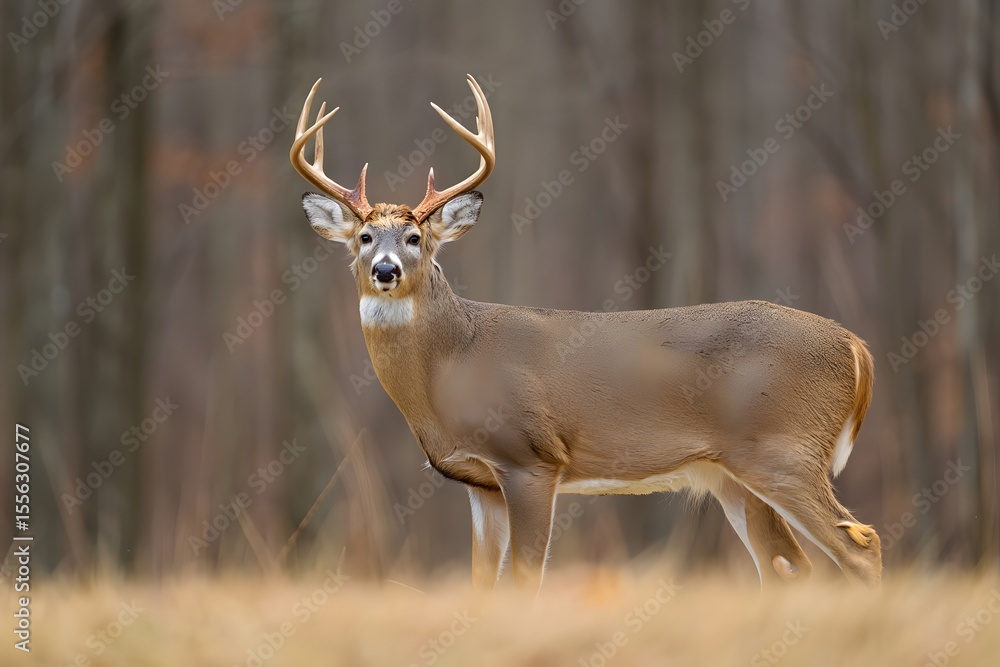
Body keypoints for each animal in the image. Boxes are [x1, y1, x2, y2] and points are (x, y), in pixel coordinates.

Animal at [289, 74, 882, 594]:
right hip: (733, 475)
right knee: (789, 566)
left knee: (860, 545)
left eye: (415, 238)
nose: (385, 270)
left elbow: (526, 578)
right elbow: (482, 584)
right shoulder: (480, 484)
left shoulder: (532, 458)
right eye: (365, 237)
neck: (452, 360)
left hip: (785, 450)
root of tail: (856, 347)